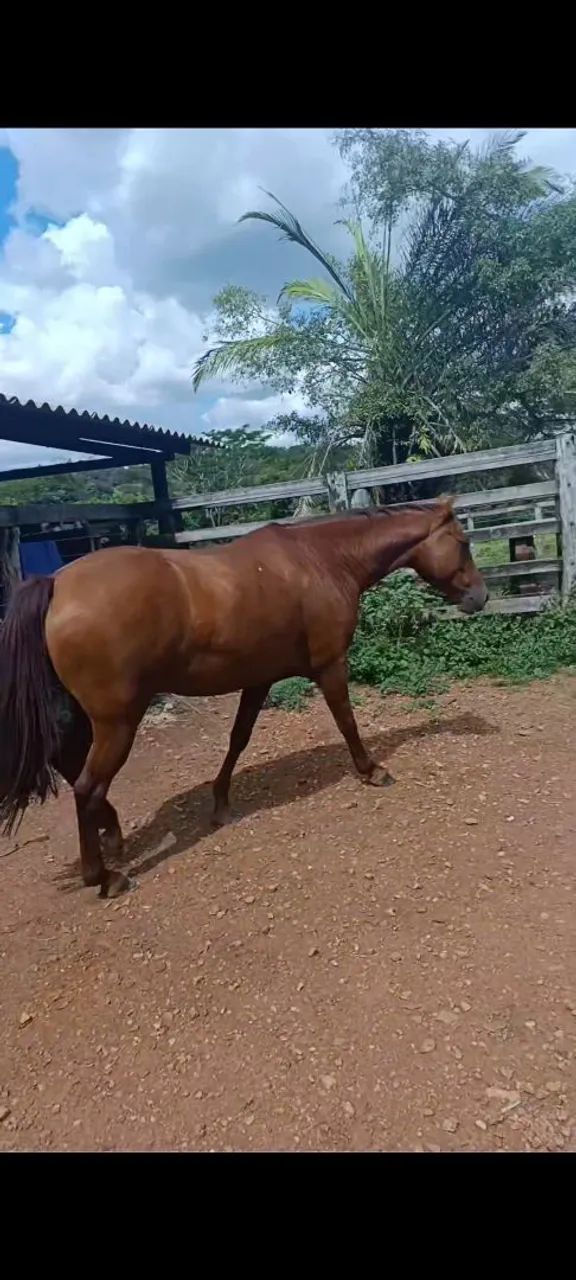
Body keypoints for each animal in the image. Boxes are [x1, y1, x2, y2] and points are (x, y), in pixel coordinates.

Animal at [0, 498, 487, 898]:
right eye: (463, 543)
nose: (480, 597)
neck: (323, 560)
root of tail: (57, 584)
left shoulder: (259, 679)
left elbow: (239, 738)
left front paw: (220, 804)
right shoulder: (331, 666)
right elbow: (347, 721)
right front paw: (372, 771)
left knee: (70, 768)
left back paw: (114, 837)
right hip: (118, 721)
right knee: (86, 786)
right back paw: (104, 877)